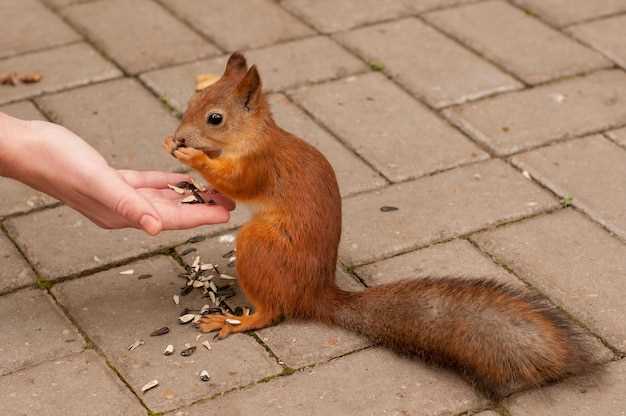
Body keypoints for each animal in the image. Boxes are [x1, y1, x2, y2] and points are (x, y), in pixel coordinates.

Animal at [163, 52, 592, 400]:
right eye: (191, 102)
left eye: (215, 118)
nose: (180, 135)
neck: (251, 137)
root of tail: (315, 294)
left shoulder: (259, 166)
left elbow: (235, 182)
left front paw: (192, 157)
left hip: (259, 245)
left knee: (272, 312)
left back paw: (236, 320)